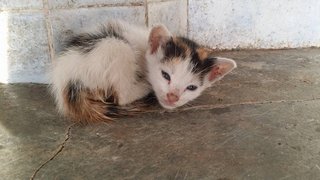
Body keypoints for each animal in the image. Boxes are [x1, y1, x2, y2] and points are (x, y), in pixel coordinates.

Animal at [49, 20, 235, 124]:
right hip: (115, 45)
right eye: (165, 75)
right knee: (122, 97)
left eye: (191, 88)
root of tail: (66, 82)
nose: (172, 97)